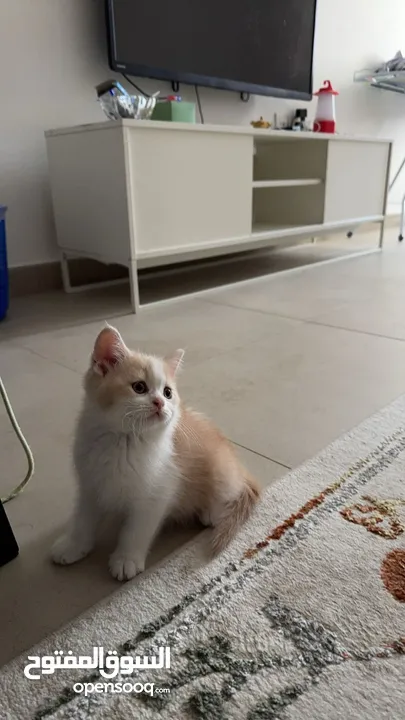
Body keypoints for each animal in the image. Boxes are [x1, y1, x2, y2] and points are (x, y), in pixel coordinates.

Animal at [51, 324, 258, 580]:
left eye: (168, 392)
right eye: (139, 387)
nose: (160, 403)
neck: (122, 441)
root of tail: (240, 467)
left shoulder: (157, 492)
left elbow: (137, 530)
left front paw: (126, 559)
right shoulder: (90, 482)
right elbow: (82, 518)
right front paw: (73, 546)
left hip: (220, 471)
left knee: (229, 494)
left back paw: (211, 511)